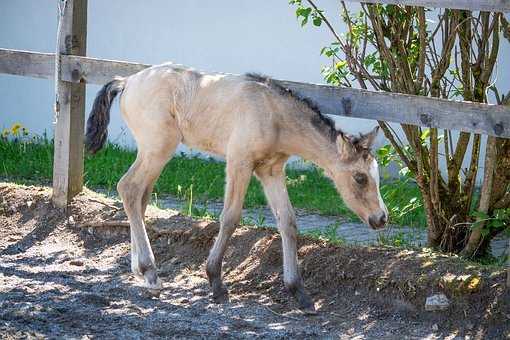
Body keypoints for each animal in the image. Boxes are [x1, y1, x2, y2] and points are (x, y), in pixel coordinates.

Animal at [84, 63, 386, 314]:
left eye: (377, 176)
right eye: (360, 178)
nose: (381, 218)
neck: (273, 114)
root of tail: (127, 81)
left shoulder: (270, 170)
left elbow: (288, 222)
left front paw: (299, 293)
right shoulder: (239, 162)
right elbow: (230, 218)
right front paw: (216, 283)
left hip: (153, 151)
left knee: (140, 196)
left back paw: (140, 271)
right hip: (158, 147)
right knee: (129, 188)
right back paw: (149, 271)